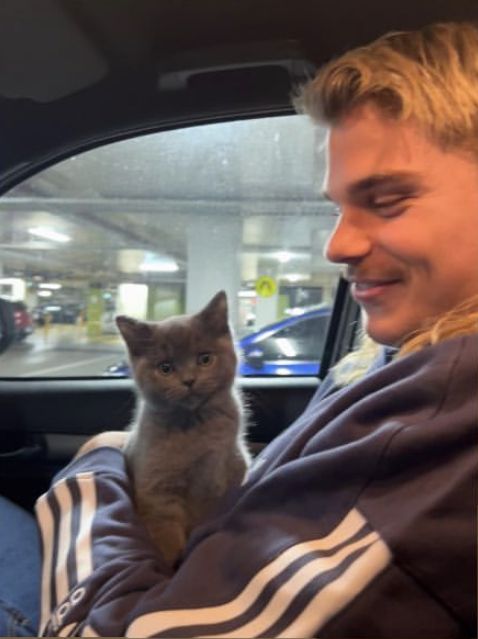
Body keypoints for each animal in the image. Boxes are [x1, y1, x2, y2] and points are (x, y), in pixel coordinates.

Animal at [116, 292, 250, 568]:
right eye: (165, 368)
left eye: (205, 359)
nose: (189, 380)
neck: (196, 425)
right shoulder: (156, 491)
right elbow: (166, 534)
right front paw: (172, 562)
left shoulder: (227, 470)